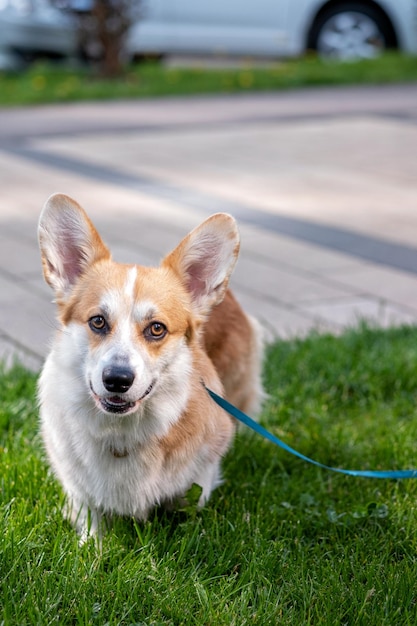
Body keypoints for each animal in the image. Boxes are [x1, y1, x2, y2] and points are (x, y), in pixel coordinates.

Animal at [37, 193, 262, 540]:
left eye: (157, 329)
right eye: (98, 321)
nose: (117, 379)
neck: (121, 433)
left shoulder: (199, 479)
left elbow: (189, 509)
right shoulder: (79, 491)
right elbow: (91, 521)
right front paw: (92, 547)